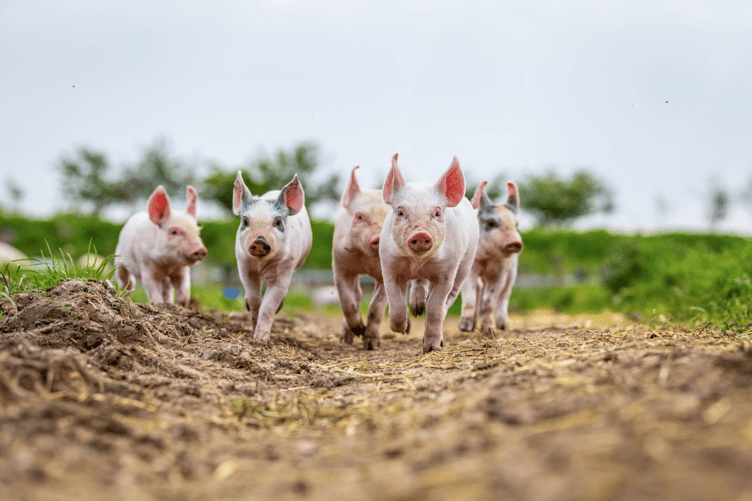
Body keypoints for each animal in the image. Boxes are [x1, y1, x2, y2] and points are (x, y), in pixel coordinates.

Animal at [233, 171, 312, 344]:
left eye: (277, 222)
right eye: (245, 221)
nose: (260, 241)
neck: (261, 264)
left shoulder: (285, 269)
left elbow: (268, 306)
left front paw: (260, 341)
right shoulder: (244, 266)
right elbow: (255, 299)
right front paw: (253, 329)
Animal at [332, 165, 391, 350]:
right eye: (359, 216)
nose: (378, 238)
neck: (367, 262)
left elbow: (376, 306)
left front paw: (371, 344)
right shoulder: (340, 266)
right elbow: (347, 301)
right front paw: (359, 330)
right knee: (357, 295)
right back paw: (346, 339)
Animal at [380, 153, 479, 353]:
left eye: (437, 213)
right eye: (400, 212)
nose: (420, 234)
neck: (417, 262)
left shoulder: (447, 271)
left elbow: (434, 308)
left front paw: (431, 348)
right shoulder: (388, 265)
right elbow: (396, 302)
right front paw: (401, 328)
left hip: (465, 264)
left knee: (448, 299)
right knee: (419, 283)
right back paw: (417, 309)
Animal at [459, 180, 523, 337]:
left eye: (516, 224)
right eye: (491, 223)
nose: (515, 242)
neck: (488, 258)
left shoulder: (501, 272)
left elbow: (489, 301)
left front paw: (490, 331)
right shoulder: (471, 269)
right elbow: (469, 297)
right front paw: (464, 328)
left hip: (512, 274)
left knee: (503, 297)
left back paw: (502, 326)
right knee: (478, 289)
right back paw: (470, 327)